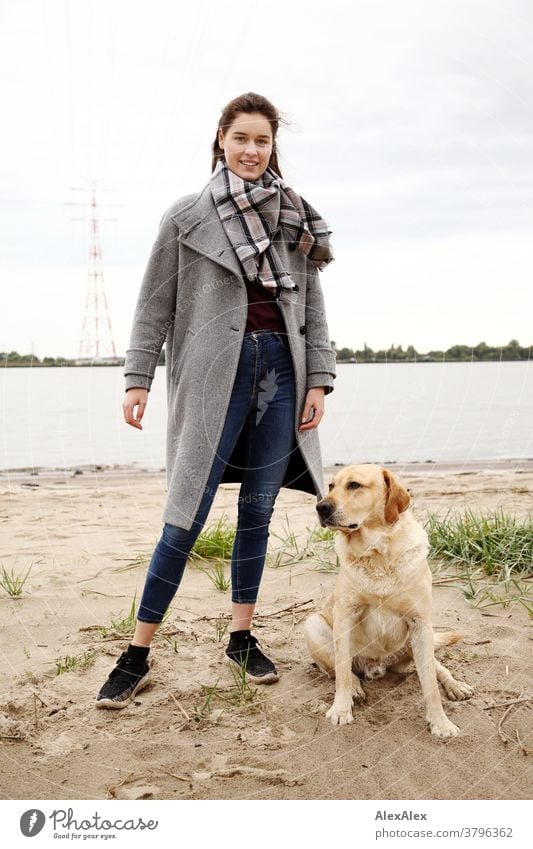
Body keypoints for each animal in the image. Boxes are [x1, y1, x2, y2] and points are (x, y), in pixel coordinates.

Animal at [306, 464, 472, 736]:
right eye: (331, 486)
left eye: (354, 485)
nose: (321, 507)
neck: (377, 552)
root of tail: (377, 666)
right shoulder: (345, 615)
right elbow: (342, 673)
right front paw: (341, 709)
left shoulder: (420, 622)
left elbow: (430, 685)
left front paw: (440, 722)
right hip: (313, 624)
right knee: (344, 672)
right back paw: (355, 689)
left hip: (420, 641)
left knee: (438, 668)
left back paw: (456, 686)